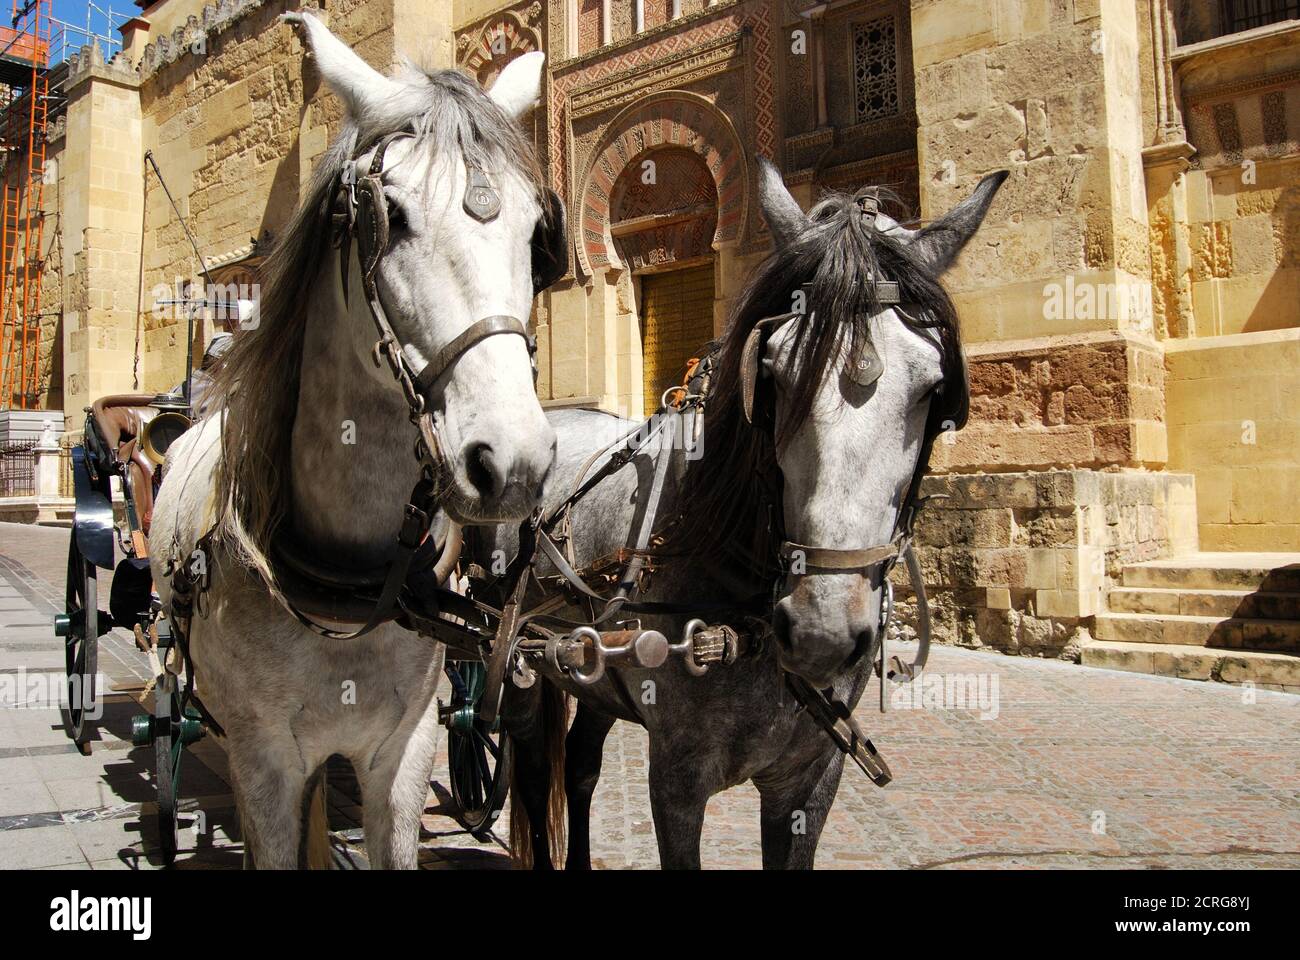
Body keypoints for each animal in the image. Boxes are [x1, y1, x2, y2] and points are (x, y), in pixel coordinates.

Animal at [152, 14, 559, 868]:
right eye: (389, 216)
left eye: (538, 232)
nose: (511, 465)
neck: (347, 589)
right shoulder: (263, 761)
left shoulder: (402, 753)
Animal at [488, 160, 1003, 863]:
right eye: (774, 373)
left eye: (935, 387)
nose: (820, 631)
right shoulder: (677, 781)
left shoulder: (811, 778)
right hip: (516, 657)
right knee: (536, 772)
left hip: (593, 668)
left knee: (582, 766)